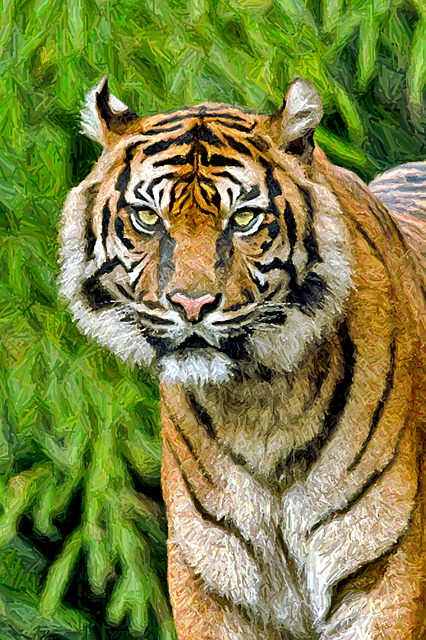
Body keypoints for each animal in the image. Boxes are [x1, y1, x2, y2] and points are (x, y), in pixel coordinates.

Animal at [59, 76, 426, 640]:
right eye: (147, 217)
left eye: (245, 219)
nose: (191, 305)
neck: (262, 405)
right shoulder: (212, 582)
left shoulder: (385, 574)